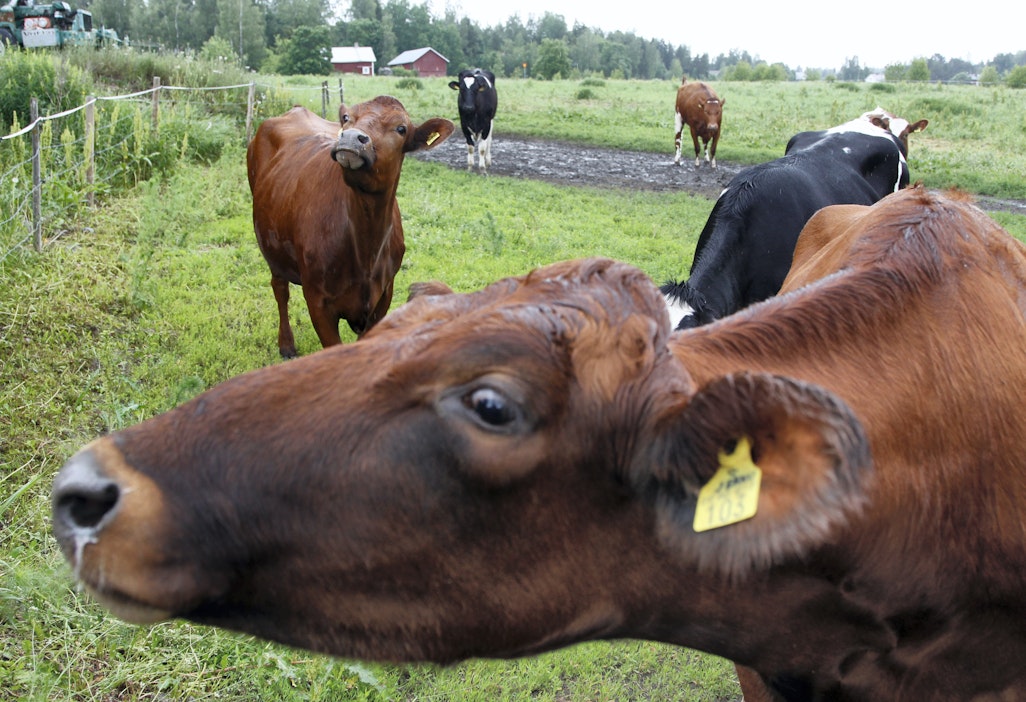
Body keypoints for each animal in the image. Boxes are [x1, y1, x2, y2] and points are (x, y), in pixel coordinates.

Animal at [244, 97, 453, 357]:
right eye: (347, 118)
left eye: (401, 128)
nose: (352, 136)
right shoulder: (317, 300)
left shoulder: (384, 295)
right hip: (272, 248)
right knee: (280, 289)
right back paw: (286, 344)